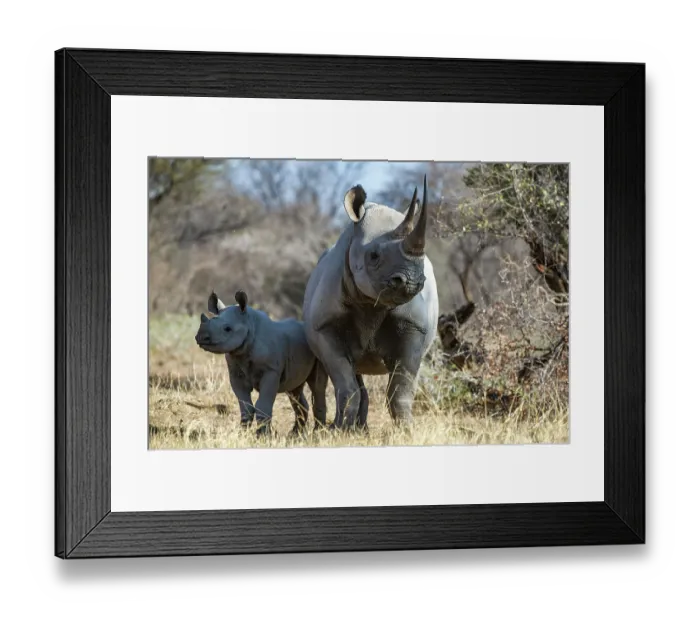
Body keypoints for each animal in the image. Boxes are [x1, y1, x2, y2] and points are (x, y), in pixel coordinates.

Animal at [195, 290, 327, 435]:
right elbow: (245, 406)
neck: (249, 324)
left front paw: (263, 435)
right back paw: (295, 434)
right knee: (294, 389)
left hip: (317, 346)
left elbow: (262, 405)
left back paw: (318, 433)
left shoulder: (271, 370)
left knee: (317, 386)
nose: (201, 337)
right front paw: (243, 433)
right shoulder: (235, 373)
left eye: (227, 329)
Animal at [302, 176, 439, 429]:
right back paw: (333, 429)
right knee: (333, 379)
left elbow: (400, 389)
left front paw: (407, 430)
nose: (411, 281)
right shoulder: (324, 326)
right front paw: (340, 431)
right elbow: (346, 385)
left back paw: (359, 430)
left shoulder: (415, 327)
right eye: (374, 256)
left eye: (422, 257)